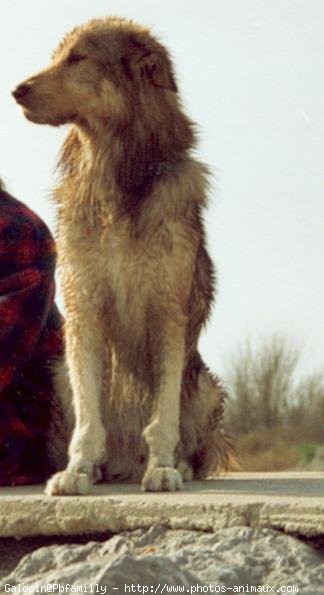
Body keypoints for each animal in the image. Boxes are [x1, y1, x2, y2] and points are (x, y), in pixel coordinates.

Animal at [11, 17, 232, 494]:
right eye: (57, 56)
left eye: (78, 58)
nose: (16, 90)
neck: (113, 174)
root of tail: (125, 463)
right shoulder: (84, 309)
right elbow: (89, 421)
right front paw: (76, 471)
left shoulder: (168, 312)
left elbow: (163, 417)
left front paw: (163, 467)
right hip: (59, 373)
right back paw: (100, 468)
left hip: (206, 385)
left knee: (192, 441)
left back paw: (177, 464)